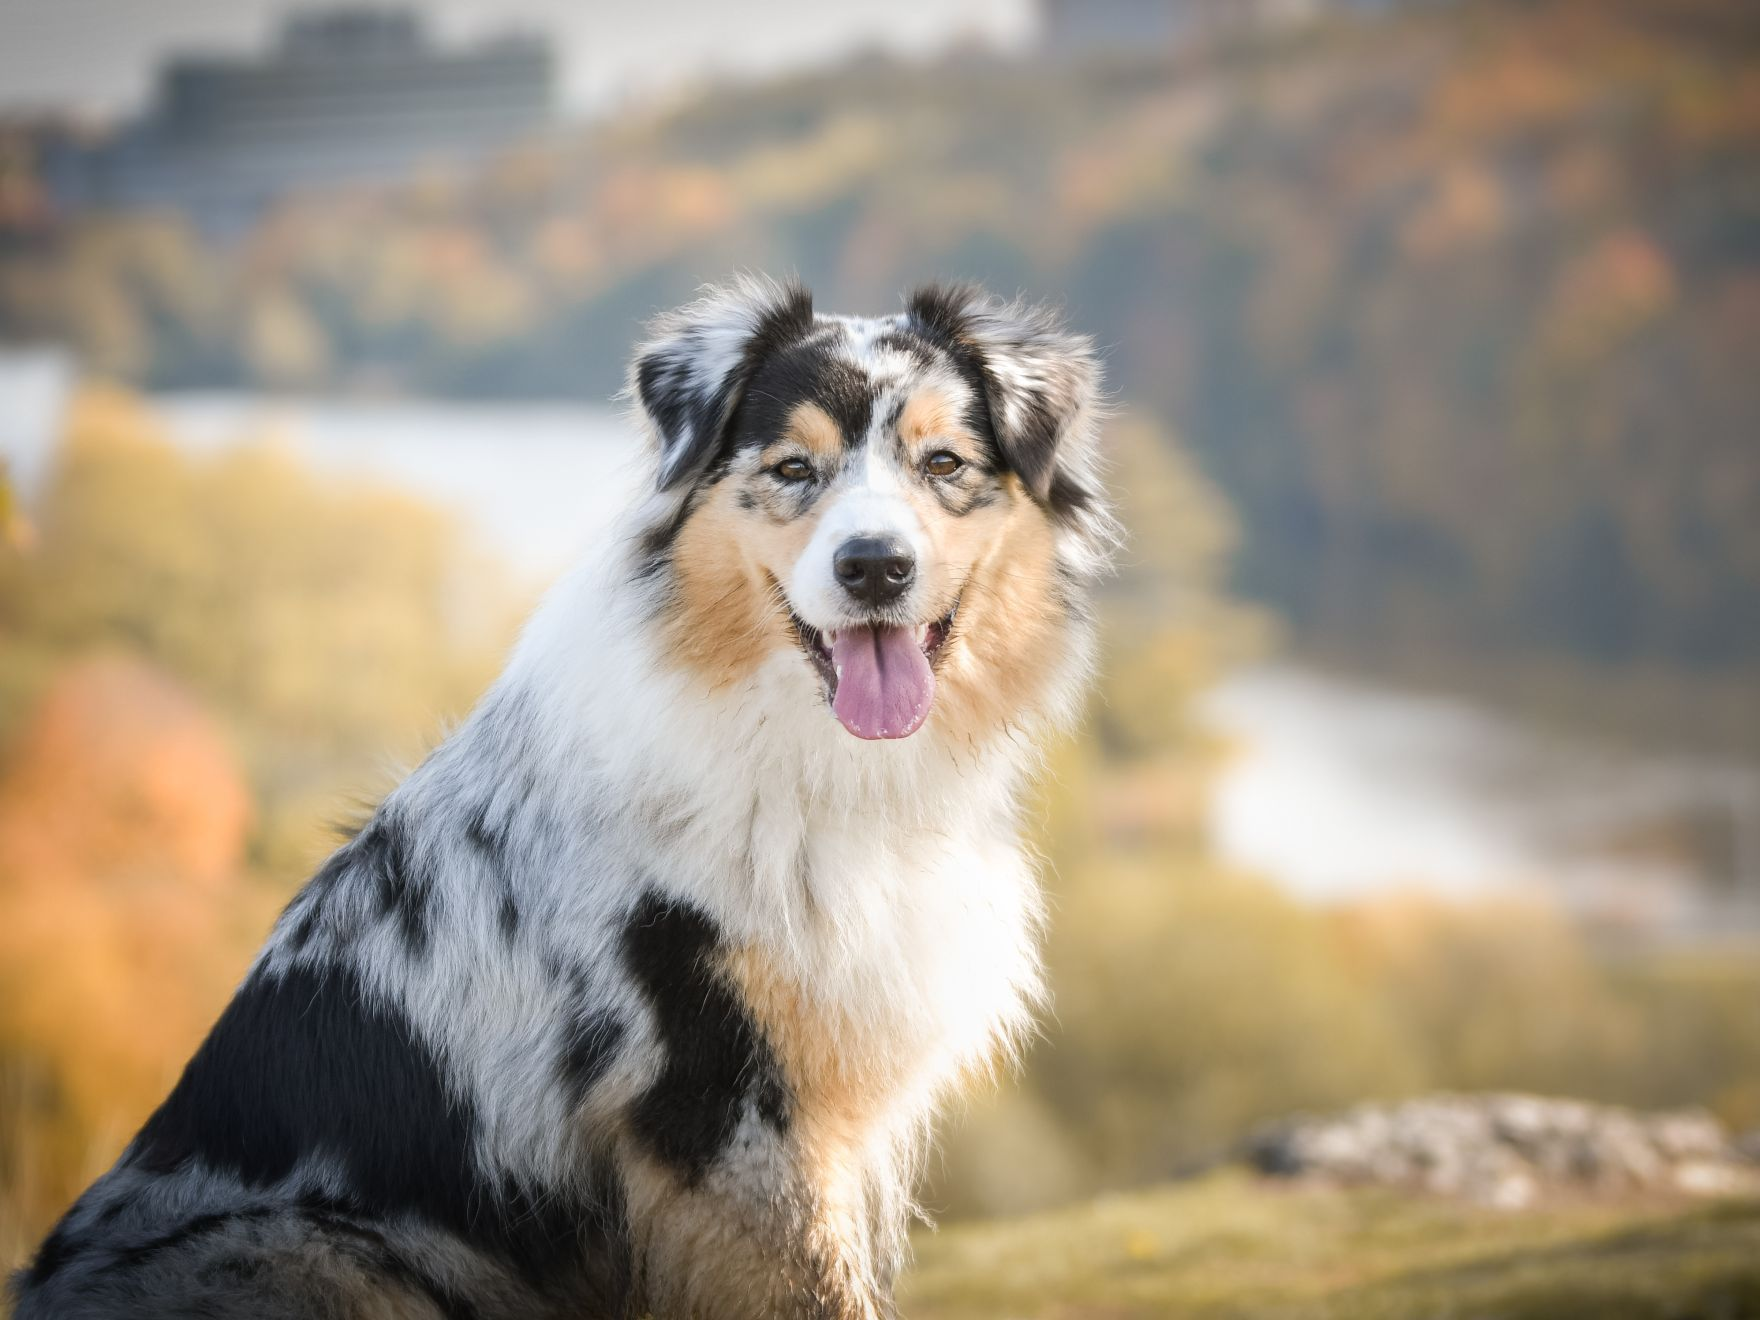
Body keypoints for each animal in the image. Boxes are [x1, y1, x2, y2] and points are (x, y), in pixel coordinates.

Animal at [10, 279, 1112, 1320]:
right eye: (793, 470)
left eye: (944, 465)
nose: (874, 567)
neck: (815, 760)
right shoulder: (724, 1117)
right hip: (318, 1251)